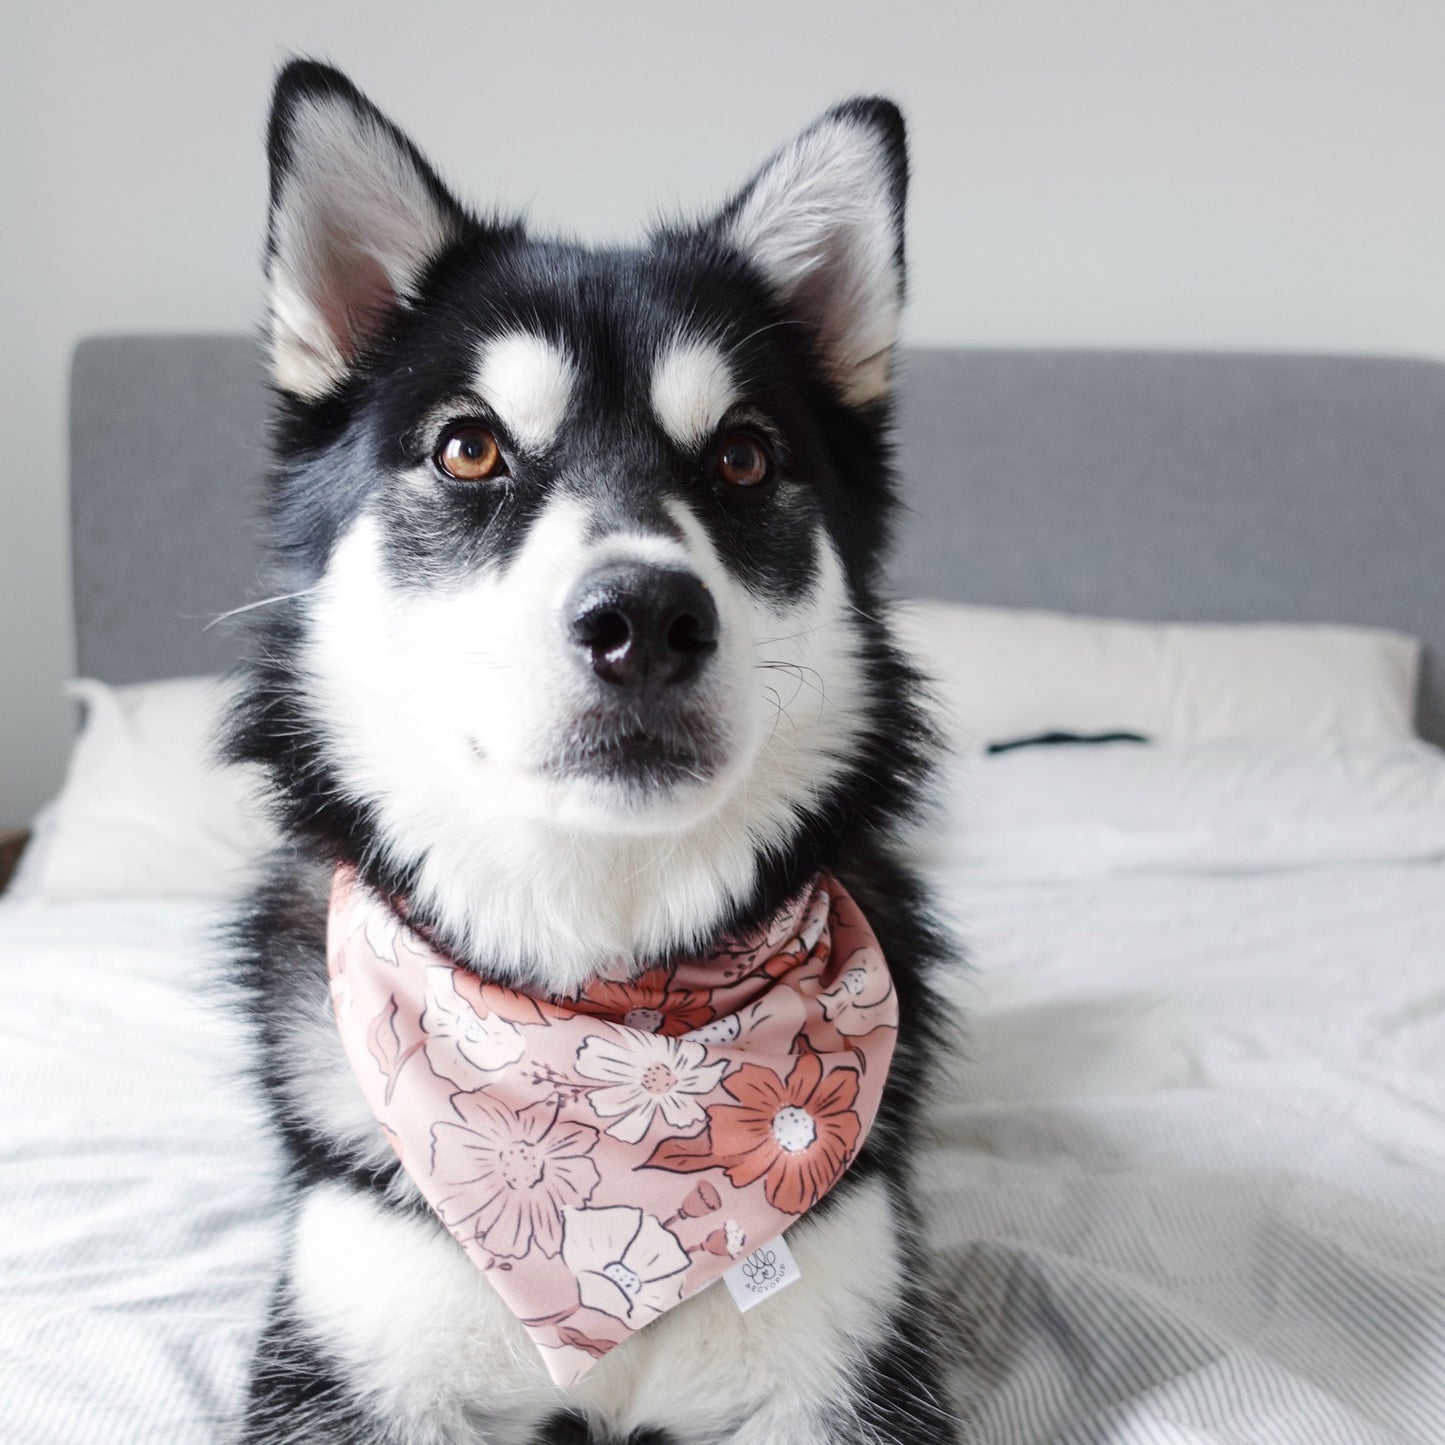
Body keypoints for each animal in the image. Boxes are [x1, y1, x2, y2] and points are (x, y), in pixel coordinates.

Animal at [231, 59, 959, 1445]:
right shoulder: (362, 1342)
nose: (646, 620)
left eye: (742, 456)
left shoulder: (839, 1365)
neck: (609, 1004)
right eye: (470, 445)